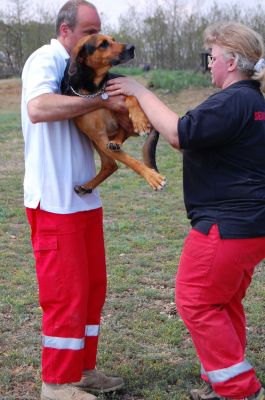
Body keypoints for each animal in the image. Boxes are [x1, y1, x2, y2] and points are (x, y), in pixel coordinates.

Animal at [61, 35, 165, 195]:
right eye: (103, 44)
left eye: (113, 39)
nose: (132, 47)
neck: (96, 89)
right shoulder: (98, 136)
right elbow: (130, 161)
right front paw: (151, 176)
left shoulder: (120, 86)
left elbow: (131, 97)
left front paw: (140, 121)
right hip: (94, 140)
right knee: (110, 164)